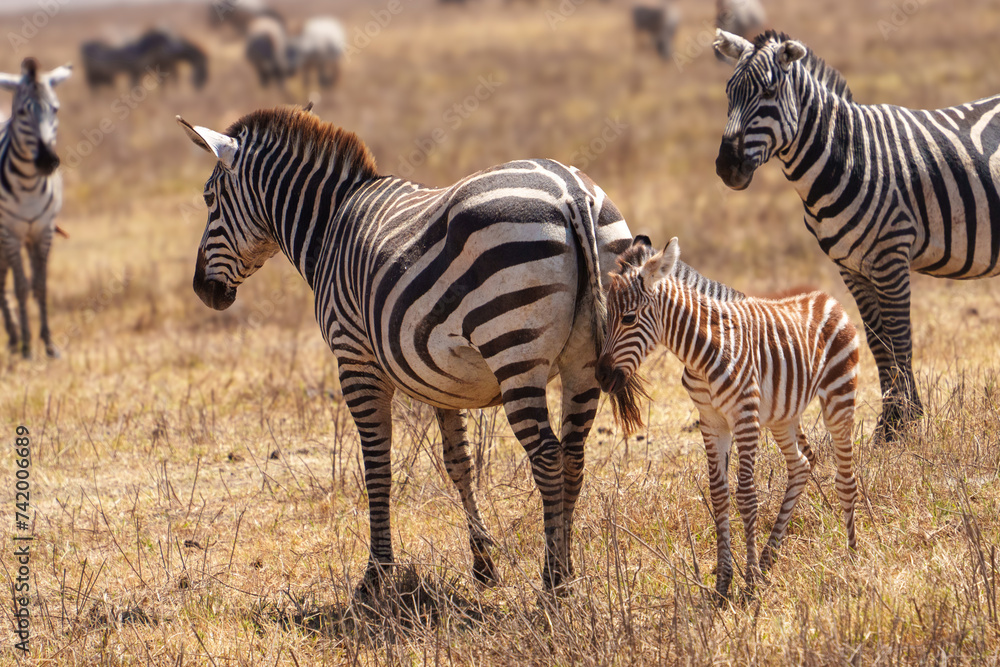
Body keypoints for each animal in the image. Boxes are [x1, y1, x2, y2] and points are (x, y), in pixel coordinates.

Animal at [176, 105, 645, 592]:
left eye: (208, 199)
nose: (202, 290)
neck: (329, 228)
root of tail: (571, 192)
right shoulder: (442, 380)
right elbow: (459, 462)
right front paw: (483, 564)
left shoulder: (355, 360)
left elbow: (376, 469)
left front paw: (375, 575)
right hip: (584, 360)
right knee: (573, 457)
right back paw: (567, 572)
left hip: (514, 351)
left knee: (549, 459)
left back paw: (553, 585)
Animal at [596, 236, 859, 603]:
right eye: (609, 318)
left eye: (630, 318)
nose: (602, 377)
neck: (700, 352)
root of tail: (826, 297)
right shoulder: (711, 421)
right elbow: (718, 495)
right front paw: (724, 583)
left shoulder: (744, 415)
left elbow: (746, 496)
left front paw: (749, 585)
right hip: (783, 416)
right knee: (802, 465)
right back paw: (768, 559)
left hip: (838, 395)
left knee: (846, 480)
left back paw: (852, 560)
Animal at [713, 28, 1000, 440]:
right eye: (728, 92)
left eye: (768, 92)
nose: (726, 167)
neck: (847, 154)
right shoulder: (852, 267)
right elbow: (879, 343)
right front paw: (891, 425)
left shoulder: (890, 255)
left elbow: (899, 339)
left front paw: (906, 423)